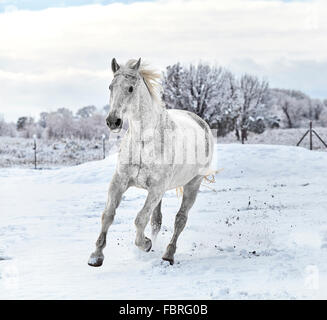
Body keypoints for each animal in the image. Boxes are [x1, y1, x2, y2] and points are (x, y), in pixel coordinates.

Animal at [88, 58, 215, 266]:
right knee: (157, 220)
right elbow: (108, 215)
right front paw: (96, 256)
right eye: (110, 87)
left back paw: (168, 254)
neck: (143, 141)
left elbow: (140, 218)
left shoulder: (156, 188)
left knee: (180, 219)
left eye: (130, 88)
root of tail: (201, 123)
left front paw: (145, 244)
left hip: (192, 184)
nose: (113, 121)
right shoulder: (119, 182)